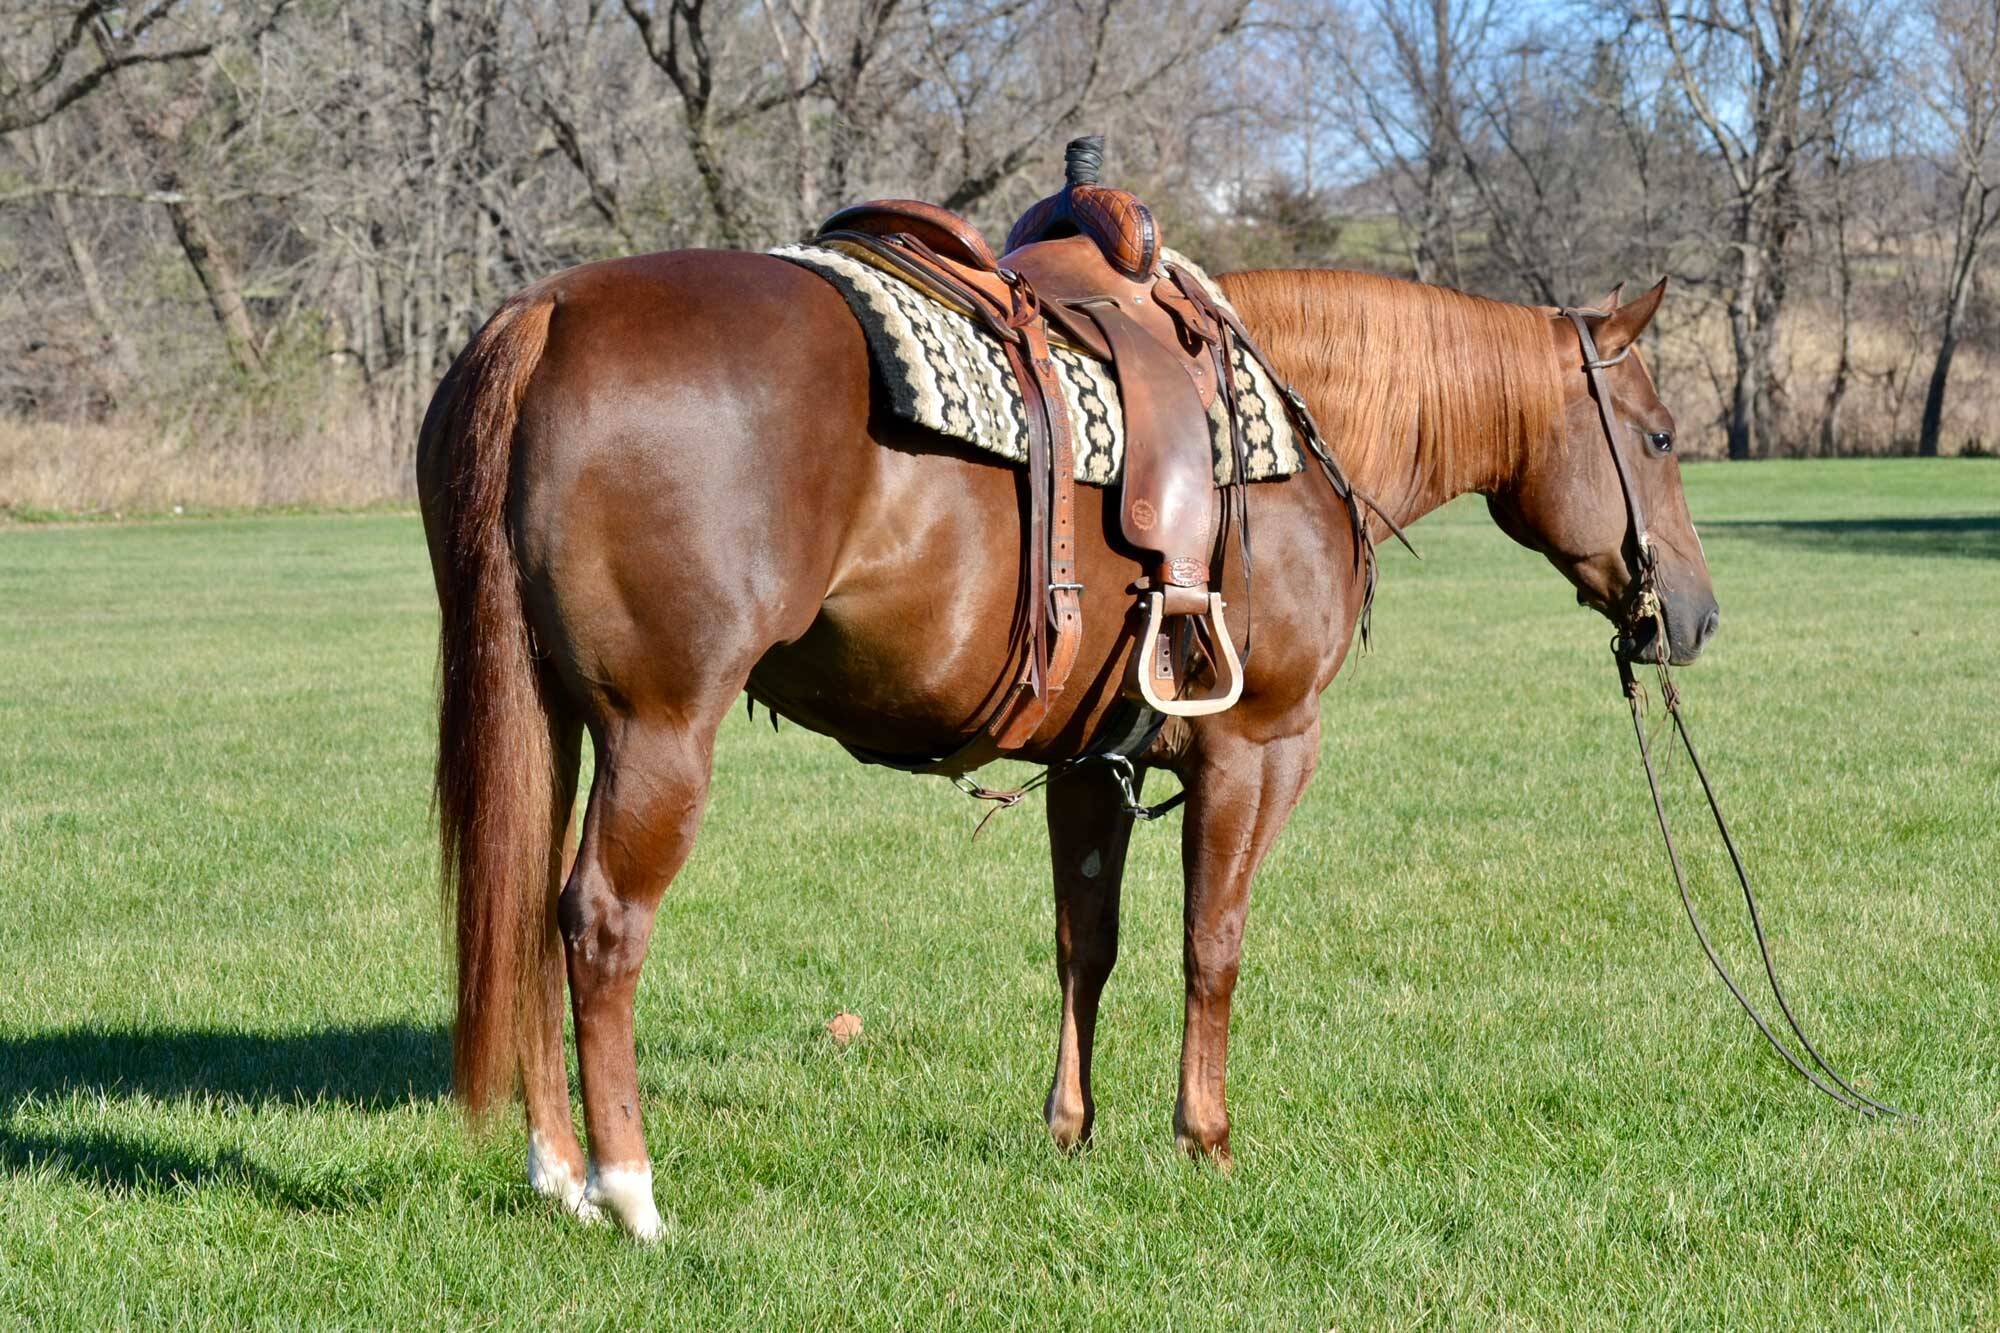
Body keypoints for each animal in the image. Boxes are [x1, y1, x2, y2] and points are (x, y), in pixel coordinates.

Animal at [416, 253, 1719, 1240]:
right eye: (1658, 436)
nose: (1695, 617)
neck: (1298, 442)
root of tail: (552, 312)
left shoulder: (1095, 765)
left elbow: (1082, 945)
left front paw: (1070, 1129)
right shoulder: (1254, 751)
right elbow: (1210, 947)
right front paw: (1205, 1139)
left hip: (555, 719)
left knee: (527, 908)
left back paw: (557, 1174)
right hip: (659, 730)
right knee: (598, 923)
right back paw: (628, 1190)